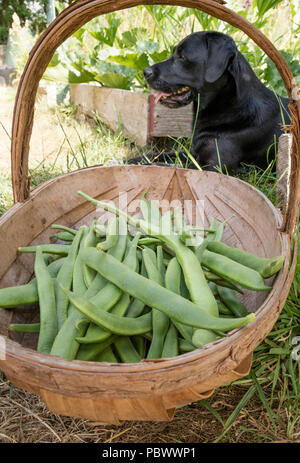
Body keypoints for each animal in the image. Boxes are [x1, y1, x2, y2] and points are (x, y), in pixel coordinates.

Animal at [130, 31, 290, 172]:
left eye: (183, 57)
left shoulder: (212, 166)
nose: (145, 72)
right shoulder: (191, 153)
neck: (228, 106)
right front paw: (128, 160)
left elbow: (161, 166)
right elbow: (155, 155)